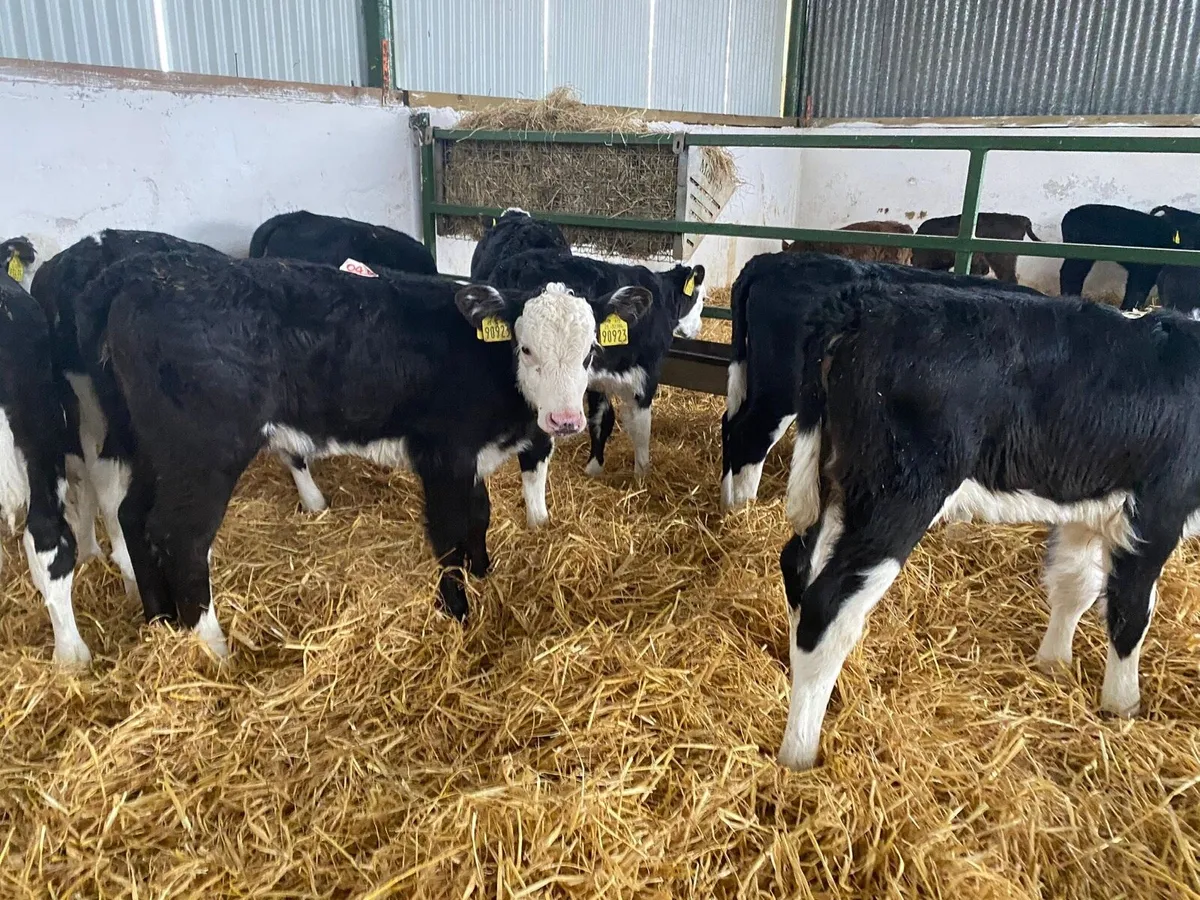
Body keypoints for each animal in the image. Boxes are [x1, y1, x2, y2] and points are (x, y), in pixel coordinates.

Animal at [77, 251, 650, 651]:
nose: (564, 420)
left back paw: (159, 621)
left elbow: (480, 517)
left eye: (591, 350)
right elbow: (449, 533)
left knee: (133, 515)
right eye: (525, 347)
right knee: (181, 537)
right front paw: (458, 611)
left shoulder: (473, 456)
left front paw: (484, 573)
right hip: (204, 452)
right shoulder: (443, 455)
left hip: (154, 447)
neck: (483, 362)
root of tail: (140, 275)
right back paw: (213, 649)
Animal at [486, 249, 705, 522]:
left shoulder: (595, 381)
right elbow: (641, 428)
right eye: (700, 298)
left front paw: (594, 467)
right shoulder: (647, 375)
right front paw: (642, 475)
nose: (698, 328)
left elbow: (602, 420)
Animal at [773, 280, 1200, 770]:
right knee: (827, 607)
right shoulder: (1158, 513)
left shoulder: (1087, 508)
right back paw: (799, 752)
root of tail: (861, 304)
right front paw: (1122, 706)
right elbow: (1130, 613)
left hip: (837, 484)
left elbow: (1073, 585)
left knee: (798, 565)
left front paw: (1053, 664)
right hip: (898, 497)